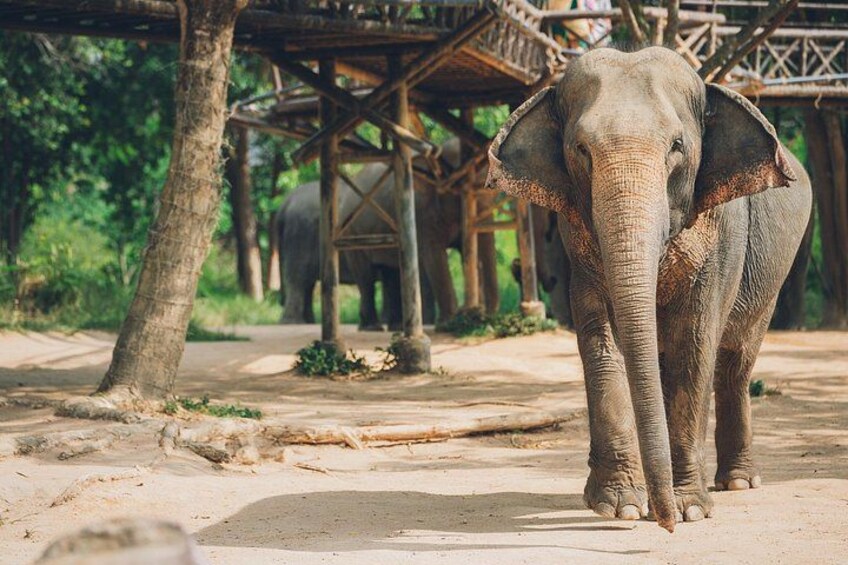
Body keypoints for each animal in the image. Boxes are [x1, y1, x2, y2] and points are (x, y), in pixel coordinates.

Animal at [486, 47, 812, 531]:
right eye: (581, 149)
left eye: (677, 146)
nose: (665, 524)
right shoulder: (577, 241)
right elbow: (602, 344)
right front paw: (618, 506)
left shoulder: (723, 234)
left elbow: (692, 345)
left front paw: (690, 508)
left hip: (772, 274)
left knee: (735, 361)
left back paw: (737, 483)